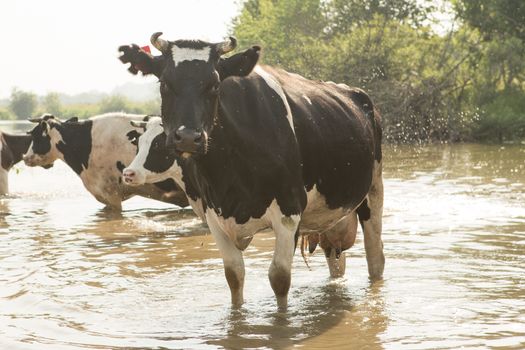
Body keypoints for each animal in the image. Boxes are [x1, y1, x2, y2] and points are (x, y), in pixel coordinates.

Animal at [118, 34, 382, 308]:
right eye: (165, 83)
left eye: (214, 85)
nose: (188, 138)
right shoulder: (214, 216)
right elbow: (233, 276)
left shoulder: (289, 211)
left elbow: (279, 278)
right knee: (336, 261)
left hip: (374, 190)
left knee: (375, 257)